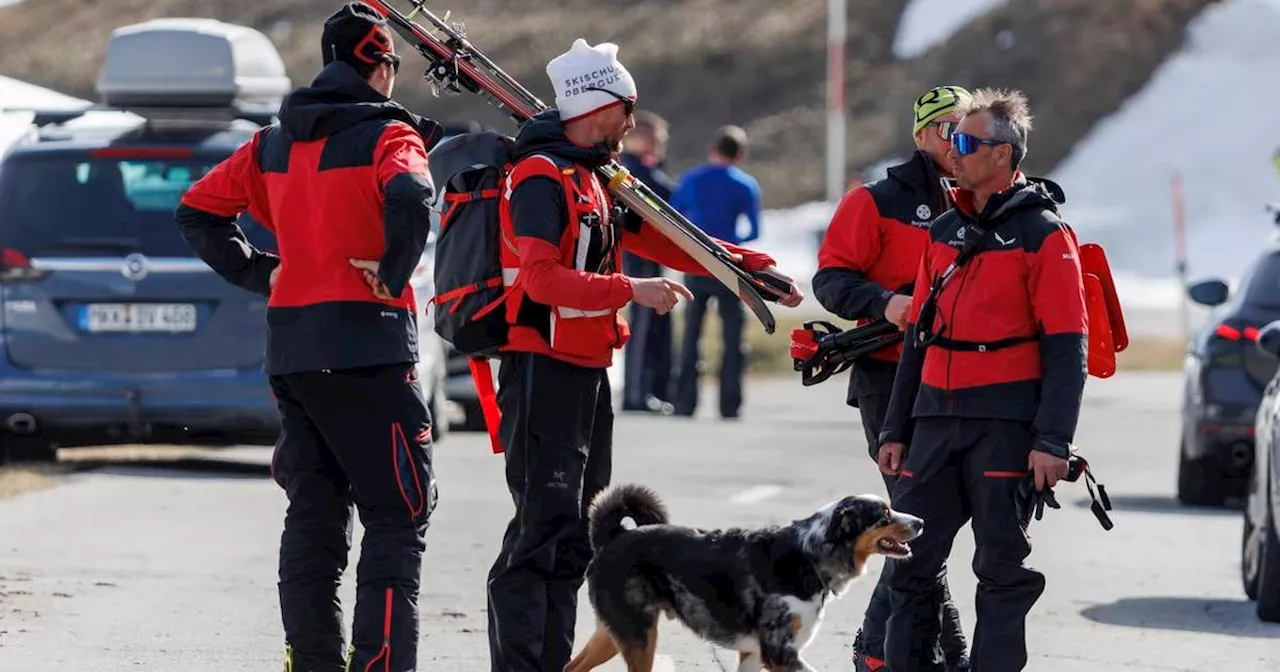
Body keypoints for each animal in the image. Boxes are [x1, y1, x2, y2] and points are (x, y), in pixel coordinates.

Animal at [568, 481, 921, 670]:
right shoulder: (779, 652)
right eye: (885, 515)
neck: (809, 555)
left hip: (614, 636)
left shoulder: (753, 652)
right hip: (639, 636)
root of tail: (612, 537)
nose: (920, 521)